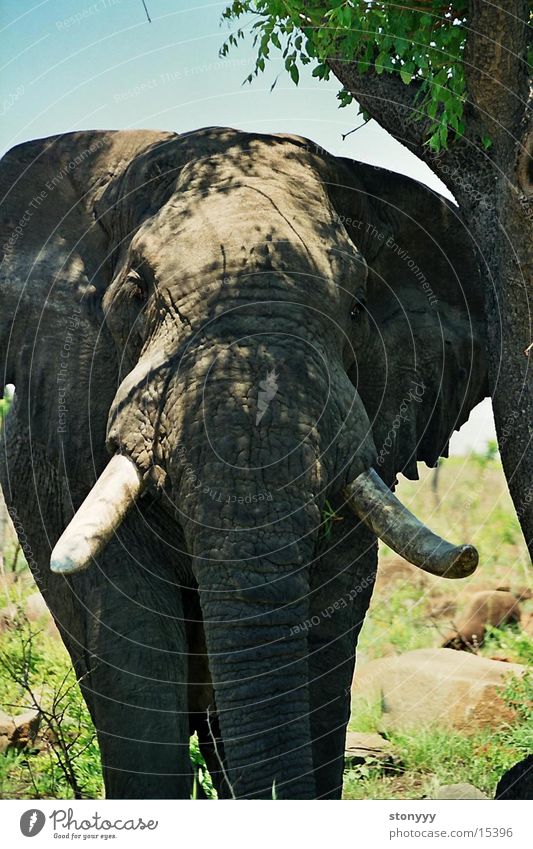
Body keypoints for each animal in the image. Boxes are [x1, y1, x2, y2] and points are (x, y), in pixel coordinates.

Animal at [0, 126, 486, 796]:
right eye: (135, 292)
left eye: (357, 307)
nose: (470, 553)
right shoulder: (68, 407)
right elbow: (131, 619)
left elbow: (328, 618)